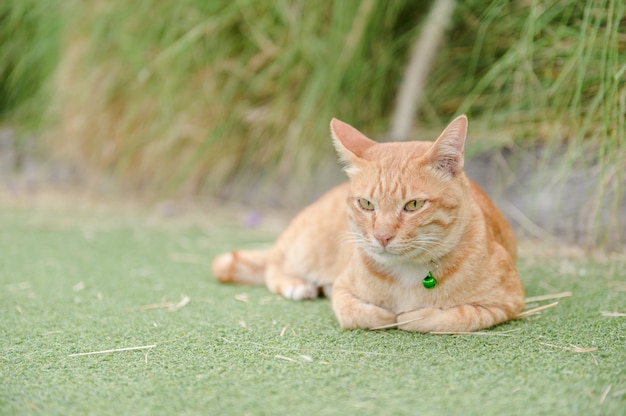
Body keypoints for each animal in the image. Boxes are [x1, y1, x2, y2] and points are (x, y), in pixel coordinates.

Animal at [212, 115, 524, 334]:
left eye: (413, 205)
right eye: (366, 204)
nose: (382, 236)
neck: (408, 274)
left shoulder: (507, 302)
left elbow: (447, 317)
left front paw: (410, 315)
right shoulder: (343, 292)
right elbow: (361, 314)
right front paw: (387, 314)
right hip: (306, 250)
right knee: (272, 266)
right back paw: (297, 285)